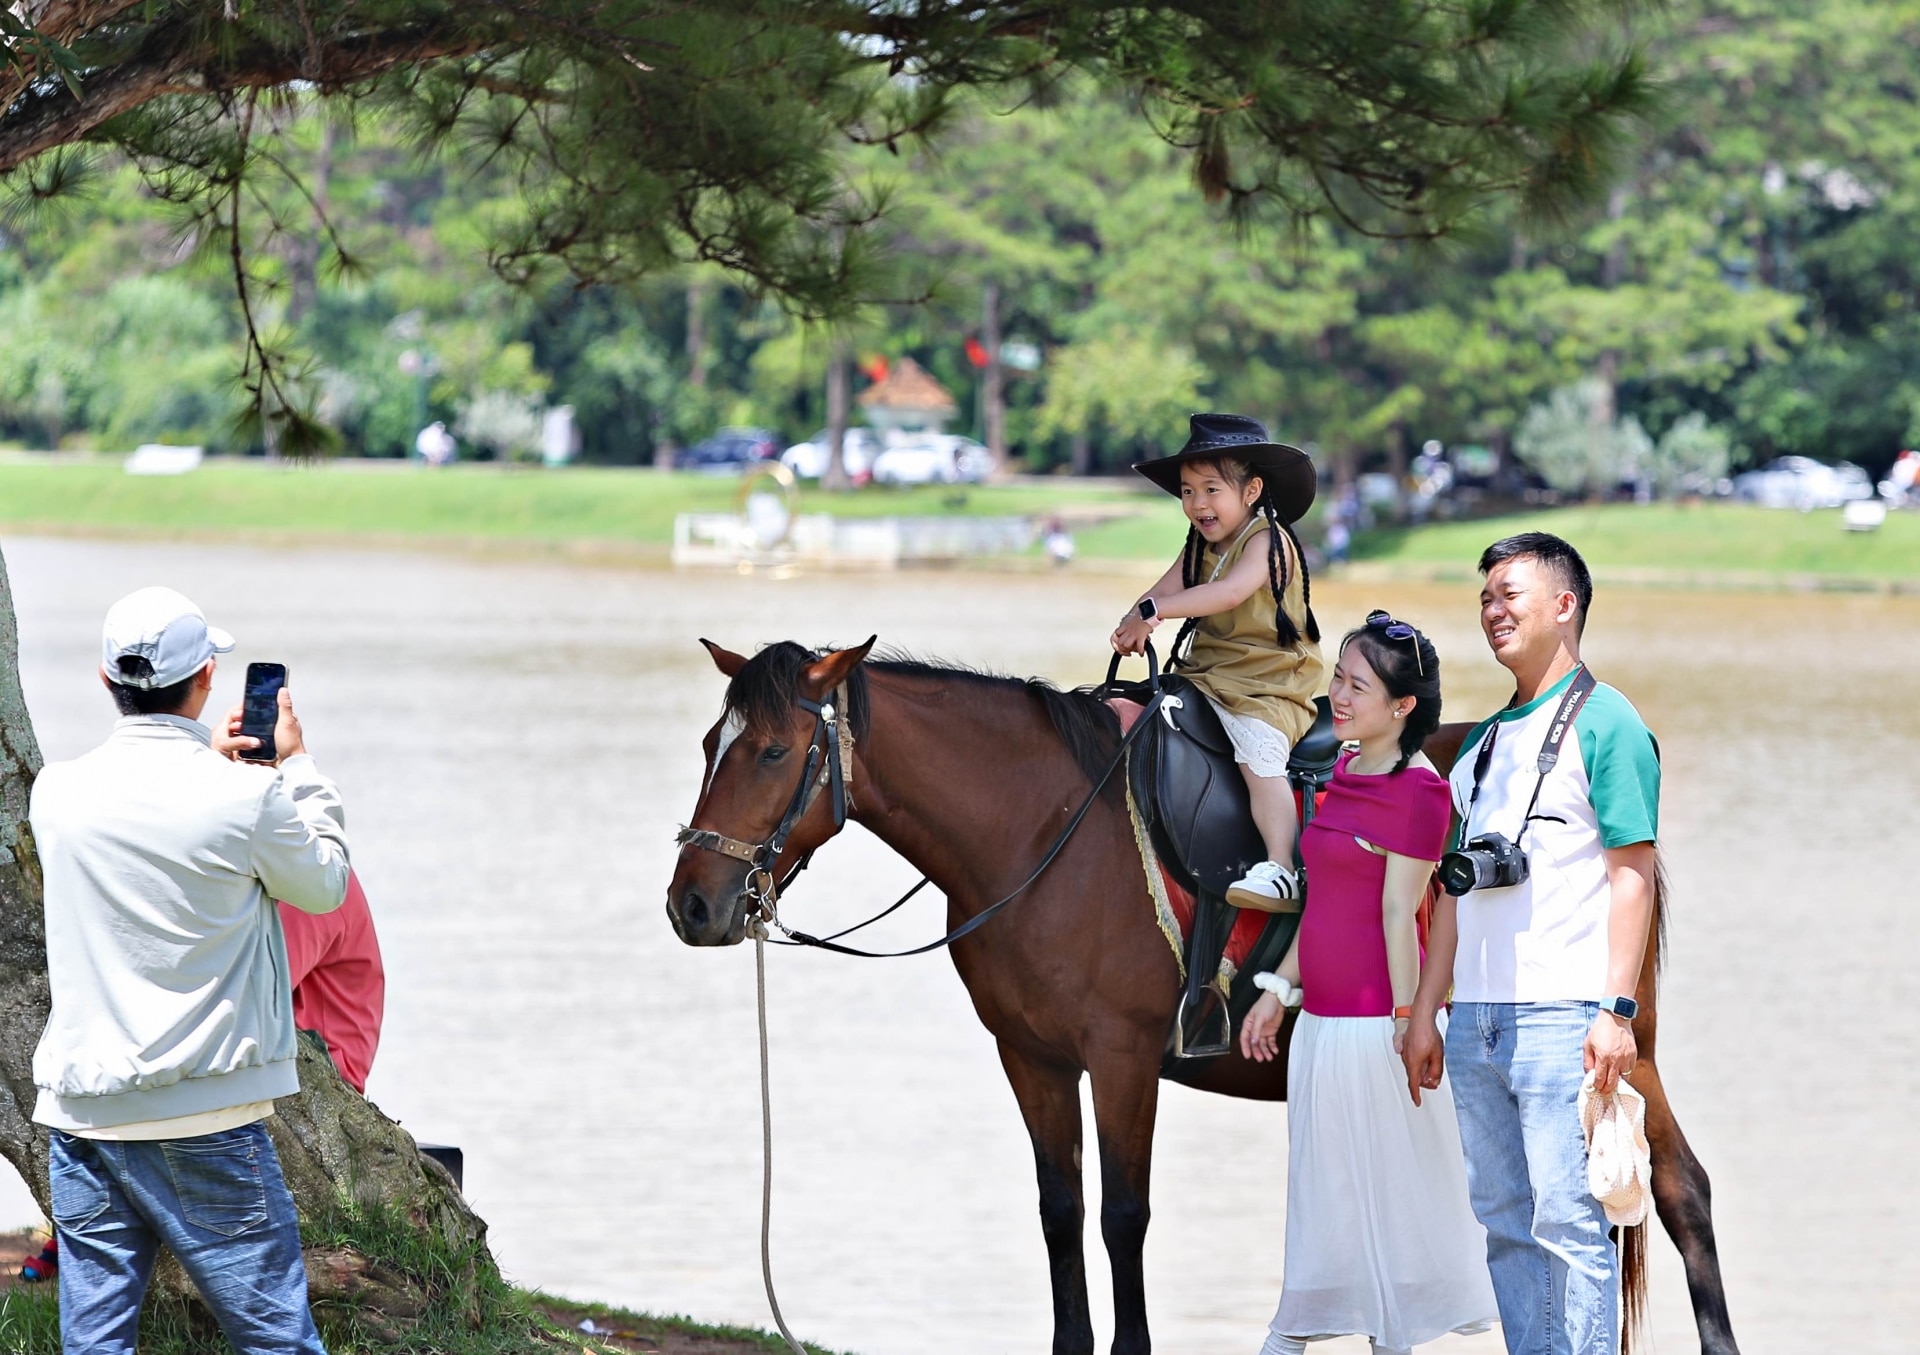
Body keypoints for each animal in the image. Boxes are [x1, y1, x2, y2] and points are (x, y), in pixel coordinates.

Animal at [668, 637, 1751, 1351]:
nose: (693, 902)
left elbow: (1122, 1215)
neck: (1041, 828)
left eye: (772, 751)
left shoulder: (1120, 1057)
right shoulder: (1032, 1056)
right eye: (709, 743)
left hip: (1617, 1050)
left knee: (1675, 1192)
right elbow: (1060, 1210)